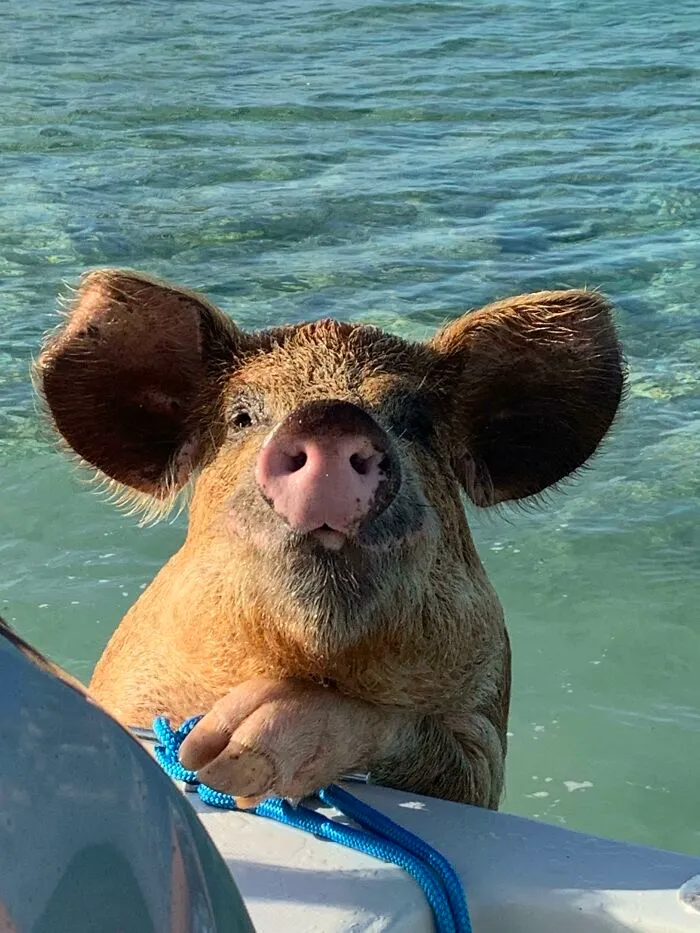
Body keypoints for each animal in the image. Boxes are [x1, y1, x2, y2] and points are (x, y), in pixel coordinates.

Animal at [36, 269, 624, 809]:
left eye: (417, 422)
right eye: (241, 416)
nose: (329, 418)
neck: (311, 662)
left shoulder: (484, 719)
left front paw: (234, 749)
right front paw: (204, 753)